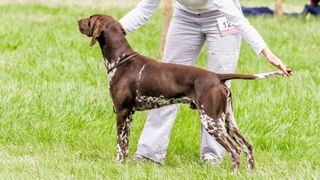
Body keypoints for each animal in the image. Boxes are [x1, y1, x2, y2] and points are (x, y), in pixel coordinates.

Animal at [79, 13, 288, 172]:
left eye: (89, 19)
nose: (77, 20)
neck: (121, 59)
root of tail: (217, 76)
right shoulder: (128, 114)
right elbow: (125, 144)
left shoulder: (122, 112)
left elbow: (120, 146)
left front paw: (118, 166)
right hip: (228, 121)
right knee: (247, 146)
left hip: (211, 120)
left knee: (234, 151)